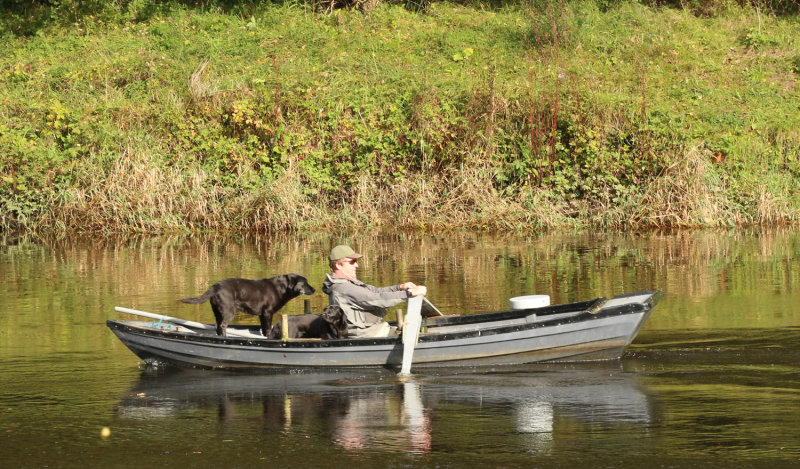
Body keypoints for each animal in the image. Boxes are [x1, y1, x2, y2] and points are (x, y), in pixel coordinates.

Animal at [180, 274, 316, 336]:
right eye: (305, 283)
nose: (314, 289)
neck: (282, 288)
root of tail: (215, 286)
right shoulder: (268, 313)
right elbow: (268, 329)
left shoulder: (262, 314)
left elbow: (264, 329)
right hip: (229, 311)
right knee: (223, 326)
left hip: (217, 311)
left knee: (217, 326)